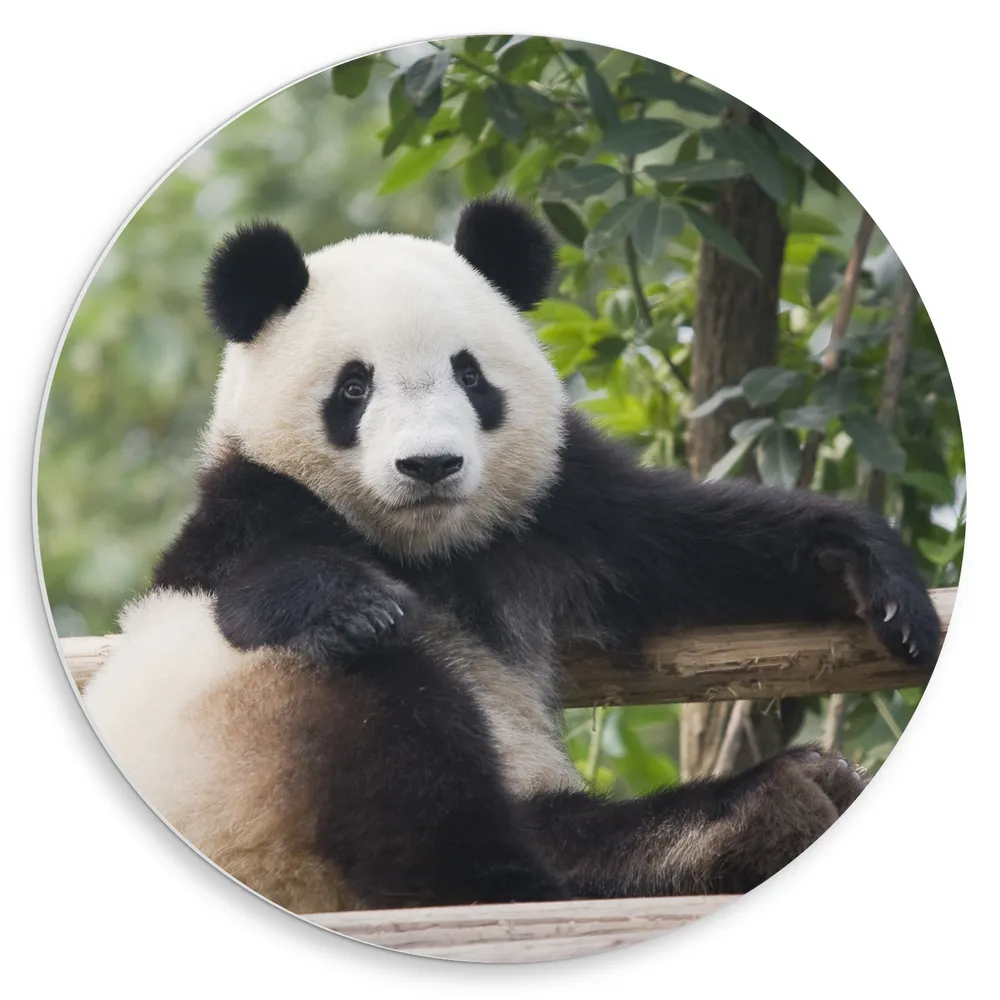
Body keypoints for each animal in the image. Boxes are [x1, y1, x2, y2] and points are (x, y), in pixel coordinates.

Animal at [82, 195, 940, 914]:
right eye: (354, 388)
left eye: (469, 374)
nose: (430, 465)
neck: (428, 549)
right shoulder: (248, 510)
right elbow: (252, 587)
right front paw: (358, 604)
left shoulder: (558, 510)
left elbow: (695, 543)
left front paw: (882, 585)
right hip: (254, 752)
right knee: (408, 753)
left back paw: (770, 806)